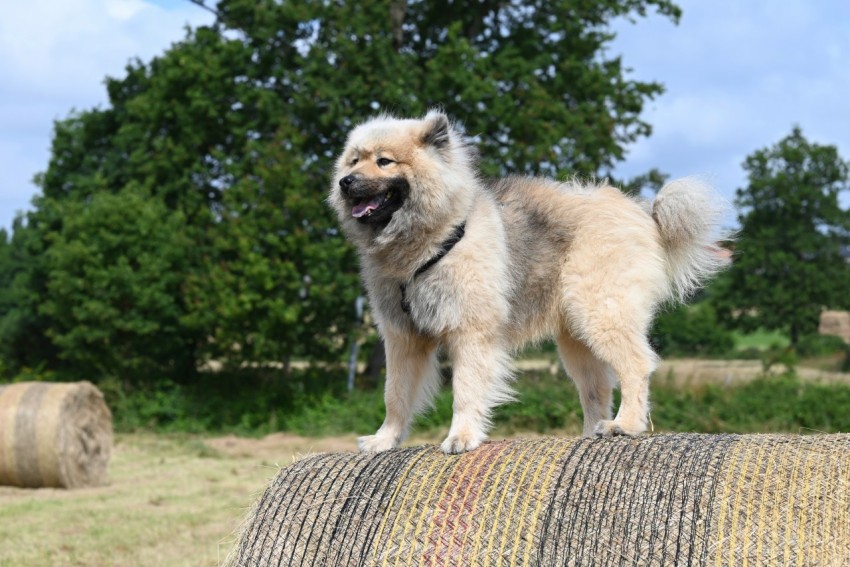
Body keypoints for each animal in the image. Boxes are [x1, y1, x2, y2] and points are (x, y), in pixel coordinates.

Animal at [328, 112, 724, 458]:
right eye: (353, 161)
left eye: (384, 161)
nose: (345, 182)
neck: (431, 238)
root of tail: (643, 213)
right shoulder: (403, 338)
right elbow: (394, 396)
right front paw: (385, 440)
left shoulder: (471, 332)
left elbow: (465, 391)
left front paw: (462, 437)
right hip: (575, 340)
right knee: (596, 389)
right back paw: (588, 435)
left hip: (600, 314)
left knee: (637, 366)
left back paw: (624, 425)